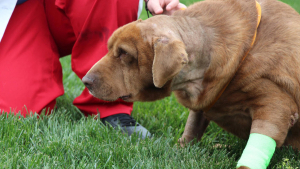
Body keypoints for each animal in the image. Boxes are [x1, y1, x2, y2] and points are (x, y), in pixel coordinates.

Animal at [82, 0, 300, 168]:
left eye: (124, 53)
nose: (85, 81)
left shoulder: (274, 103)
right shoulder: (203, 102)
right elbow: (192, 127)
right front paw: (180, 150)